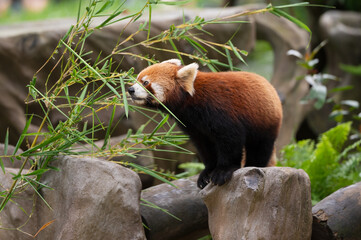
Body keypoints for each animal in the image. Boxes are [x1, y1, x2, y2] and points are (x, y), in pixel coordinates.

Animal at [128, 59, 282, 188]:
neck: (191, 100)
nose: (130, 89)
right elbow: (205, 147)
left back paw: (253, 165)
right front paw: (207, 172)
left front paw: (223, 171)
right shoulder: (193, 125)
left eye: (145, 82)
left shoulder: (220, 110)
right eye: (136, 79)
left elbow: (231, 140)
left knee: (260, 147)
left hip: (264, 121)